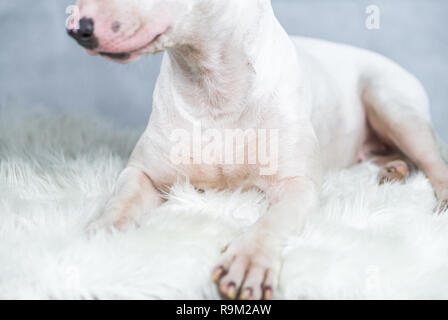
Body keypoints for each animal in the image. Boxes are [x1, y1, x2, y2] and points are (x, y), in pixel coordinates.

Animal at [66, 0, 448, 300]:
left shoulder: (298, 185)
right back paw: (394, 169)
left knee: (432, 160)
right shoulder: (142, 172)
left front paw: (248, 262)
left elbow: (274, 219)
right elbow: (122, 199)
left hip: (390, 101)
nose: (76, 26)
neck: (213, 84)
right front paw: (101, 235)